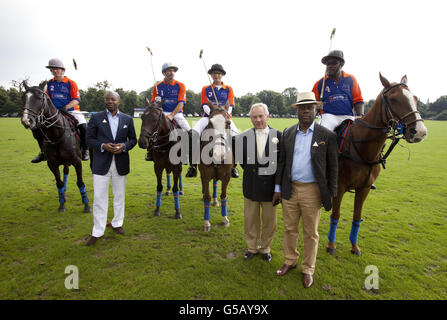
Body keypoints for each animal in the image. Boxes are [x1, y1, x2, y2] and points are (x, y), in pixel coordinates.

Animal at [21, 81, 91, 214]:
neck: (57, 134)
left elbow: (80, 182)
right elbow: (59, 183)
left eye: (40, 98)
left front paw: (86, 206)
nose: (26, 120)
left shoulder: (77, 161)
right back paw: (64, 191)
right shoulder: (52, 163)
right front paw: (62, 204)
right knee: (65, 172)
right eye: (24, 98)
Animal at [200, 101, 234, 231]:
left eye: (228, 123)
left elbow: (224, 196)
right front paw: (206, 223)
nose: (219, 154)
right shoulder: (205, 175)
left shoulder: (227, 176)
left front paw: (225, 219)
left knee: (214, 183)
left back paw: (215, 201)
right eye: (210, 123)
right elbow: (207, 197)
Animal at [328, 72, 428, 255]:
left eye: (415, 98)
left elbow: (357, 216)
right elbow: (335, 214)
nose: (420, 132)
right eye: (394, 99)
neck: (363, 148)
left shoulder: (365, 188)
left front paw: (354, 247)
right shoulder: (340, 186)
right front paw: (331, 245)